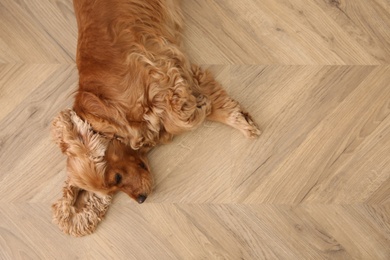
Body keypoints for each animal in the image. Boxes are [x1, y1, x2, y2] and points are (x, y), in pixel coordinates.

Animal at [51, 0, 260, 205]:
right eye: (113, 190)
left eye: (117, 177)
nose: (141, 200)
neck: (107, 111)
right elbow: (213, 102)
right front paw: (239, 119)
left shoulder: (158, 72)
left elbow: (177, 119)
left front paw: (199, 109)